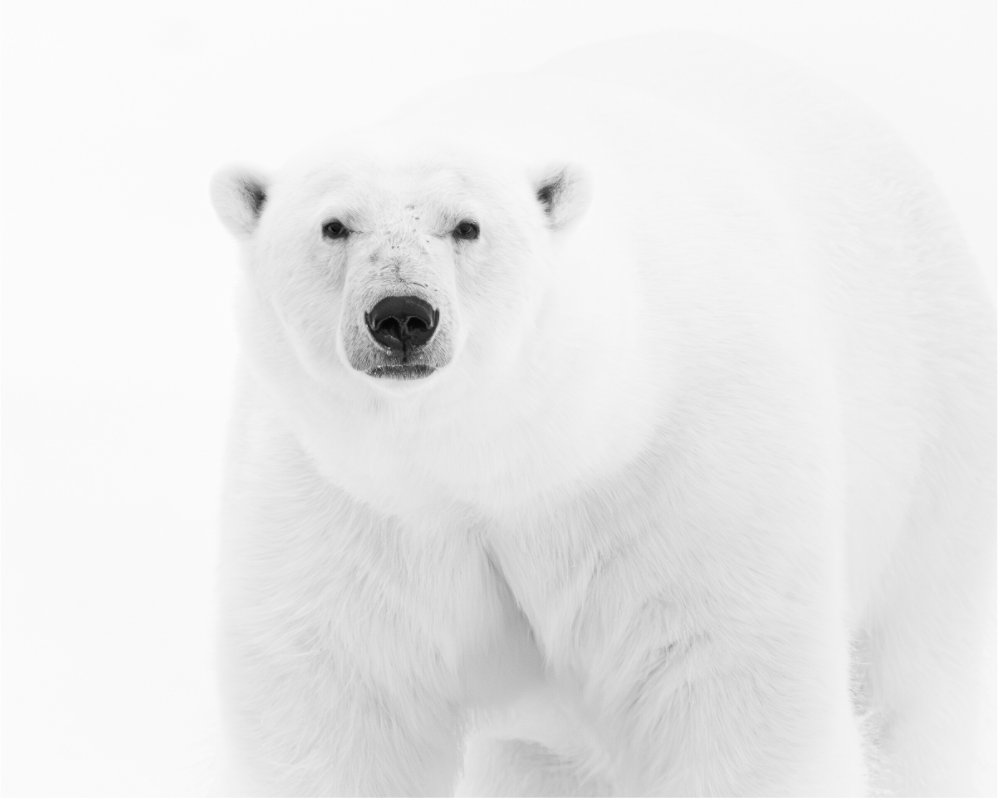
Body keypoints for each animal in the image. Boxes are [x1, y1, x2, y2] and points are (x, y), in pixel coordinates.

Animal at [209, 33, 997, 798]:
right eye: (333, 225)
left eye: (467, 226)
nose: (402, 315)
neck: (514, 454)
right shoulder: (349, 504)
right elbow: (338, 697)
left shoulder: (687, 477)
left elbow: (732, 688)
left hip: (931, 446)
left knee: (913, 682)